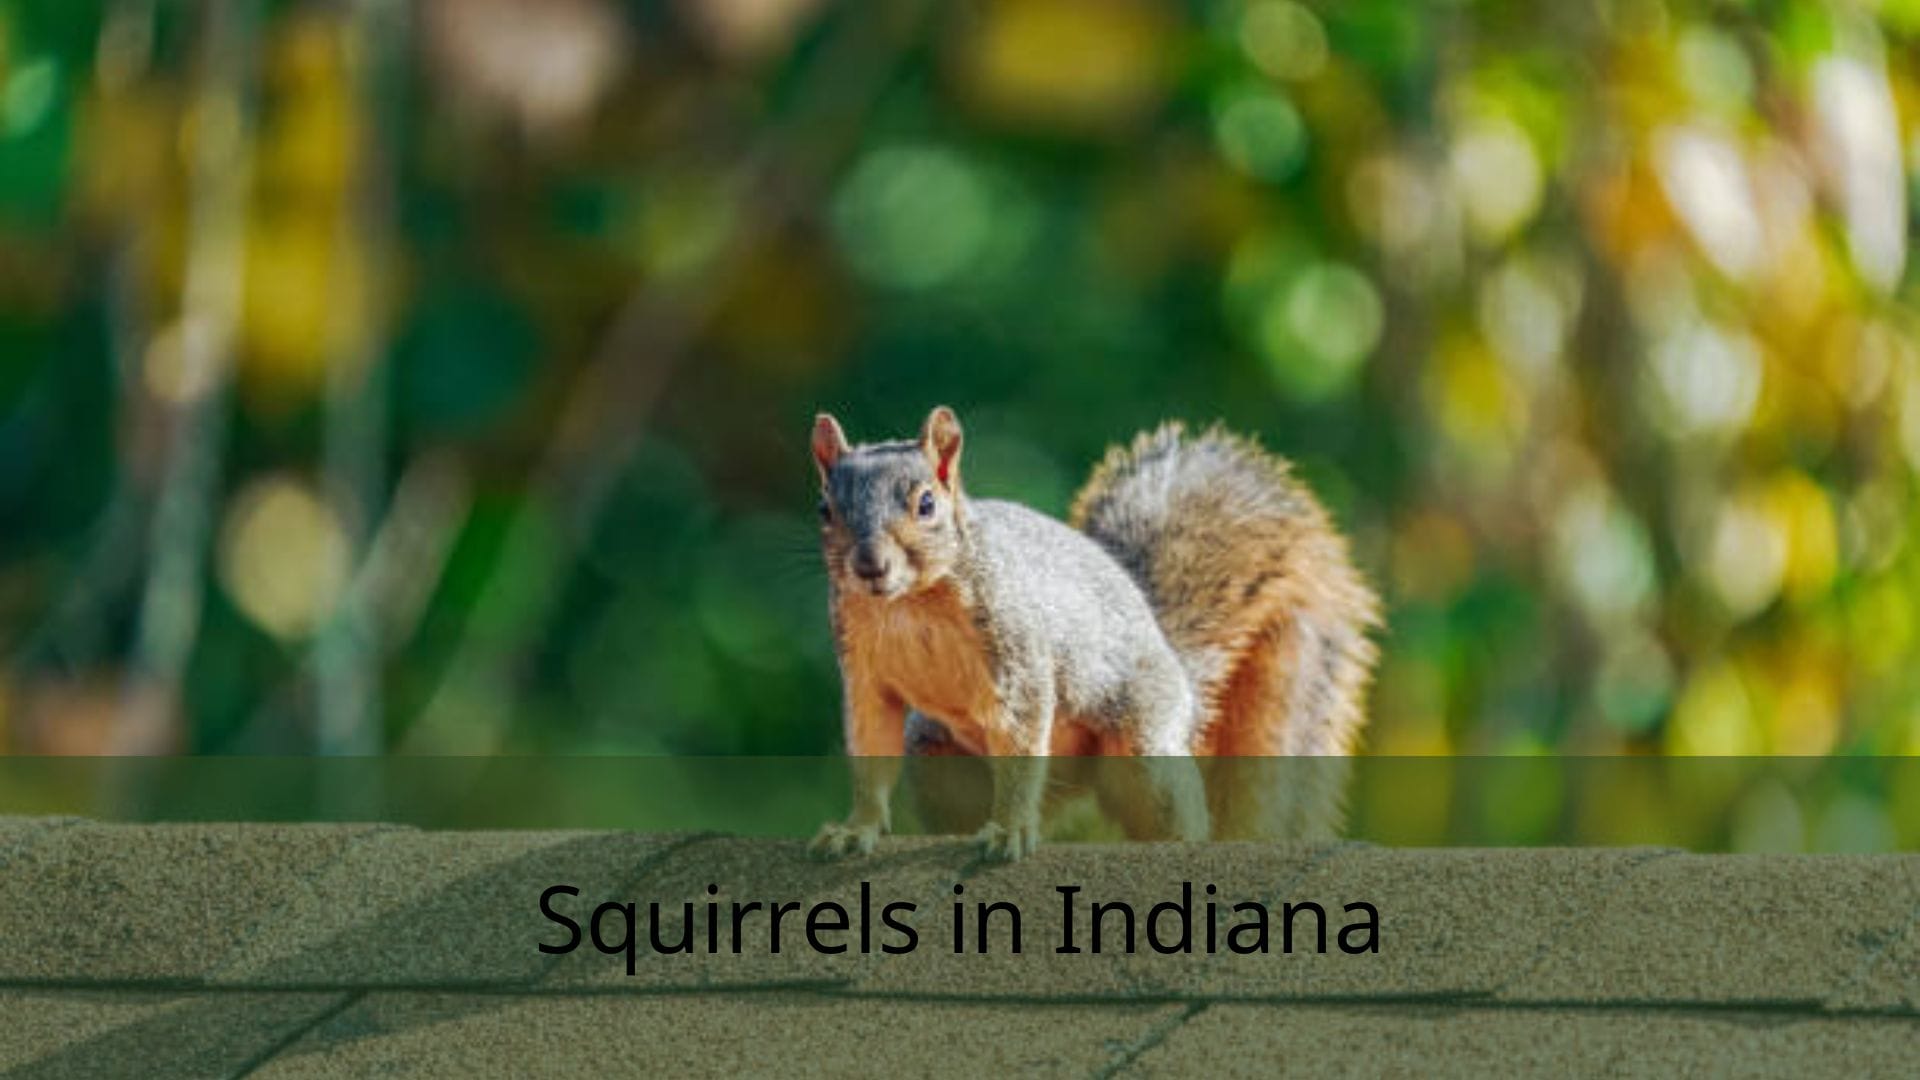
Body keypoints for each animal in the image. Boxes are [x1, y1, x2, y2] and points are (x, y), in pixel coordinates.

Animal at [807, 406, 1380, 861]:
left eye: (926, 504)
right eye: (825, 509)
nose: (869, 566)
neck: (908, 604)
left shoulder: (1019, 653)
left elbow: (1021, 738)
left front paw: (1010, 831)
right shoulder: (864, 674)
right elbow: (871, 746)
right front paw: (855, 830)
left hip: (1144, 750)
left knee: (1171, 808)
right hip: (937, 762)